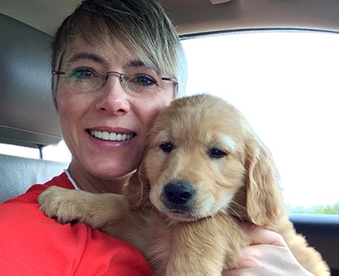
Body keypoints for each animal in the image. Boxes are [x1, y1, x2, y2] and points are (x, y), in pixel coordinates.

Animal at [38, 94, 330, 274]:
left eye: (217, 152)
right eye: (166, 146)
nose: (177, 192)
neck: (171, 226)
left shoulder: (252, 232)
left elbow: (208, 222)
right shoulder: (149, 238)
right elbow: (118, 202)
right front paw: (66, 198)